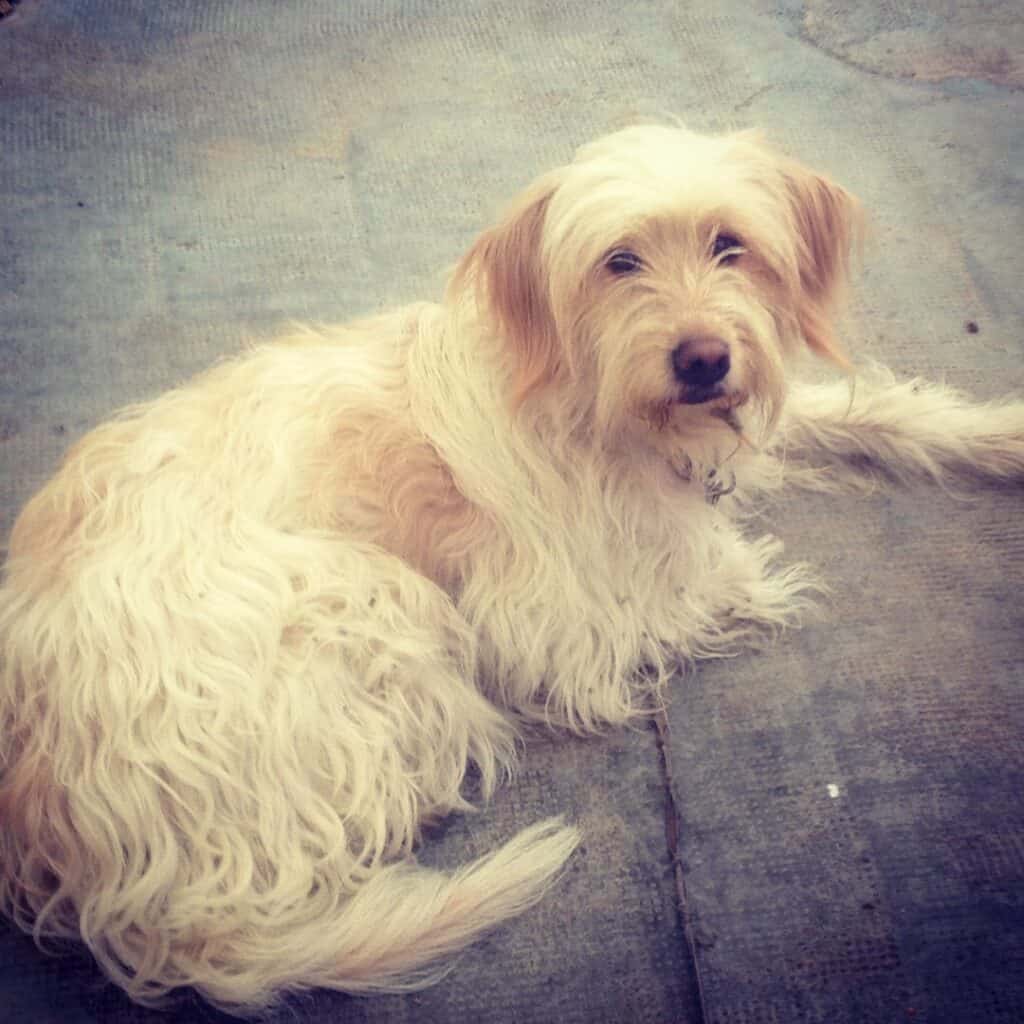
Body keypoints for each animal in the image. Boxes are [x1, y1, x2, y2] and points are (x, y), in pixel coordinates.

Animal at [2, 123, 1024, 1011]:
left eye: (730, 245)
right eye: (619, 262)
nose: (703, 360)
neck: (590, 392)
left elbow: (857, 410)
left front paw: (991, 436)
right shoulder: (560, 625)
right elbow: (700, 575)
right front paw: (755, 570)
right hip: (373, 596)